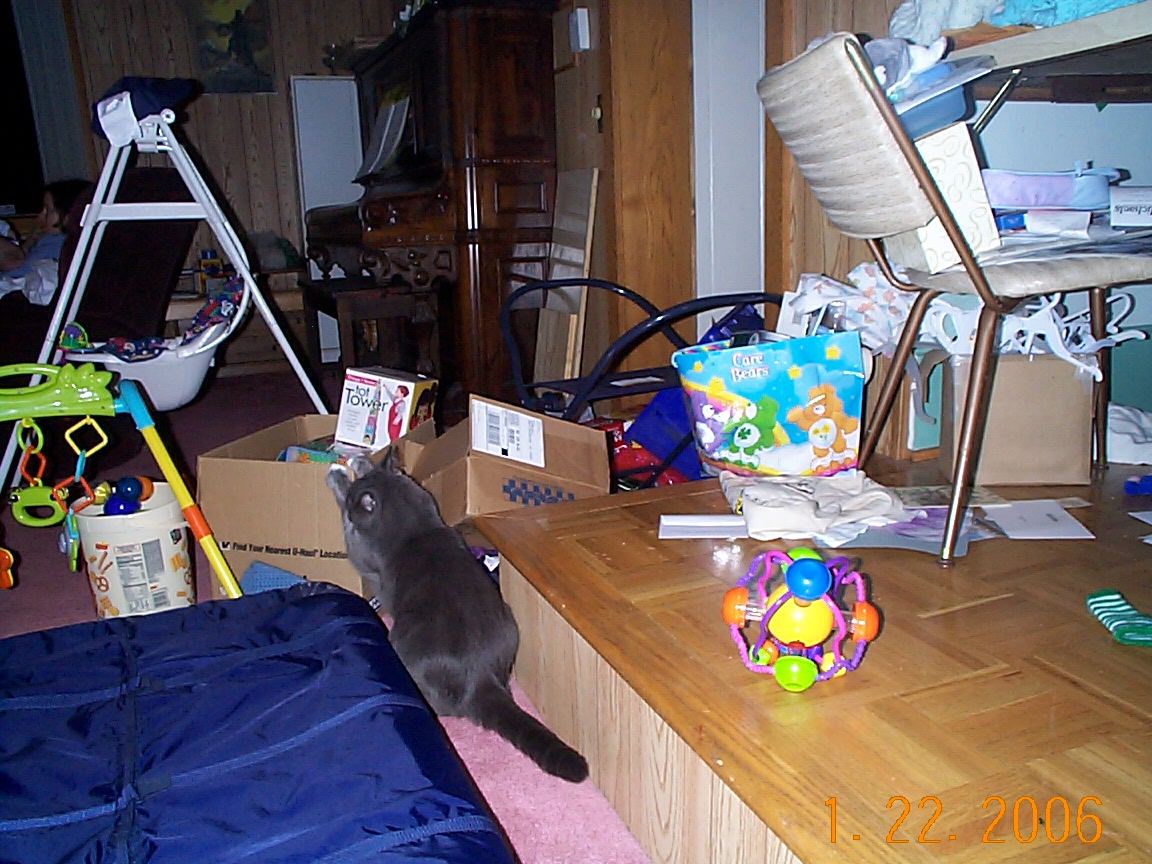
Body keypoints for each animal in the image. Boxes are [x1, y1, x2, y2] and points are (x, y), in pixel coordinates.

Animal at [326, 451, 589, 783]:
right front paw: (358, 461)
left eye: (354, 501)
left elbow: (345, 522)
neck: (411, 521)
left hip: (400, 645)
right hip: (510, 622)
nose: (352, 495)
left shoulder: (359, 553)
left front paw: (336, 474)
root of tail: (481, 678)